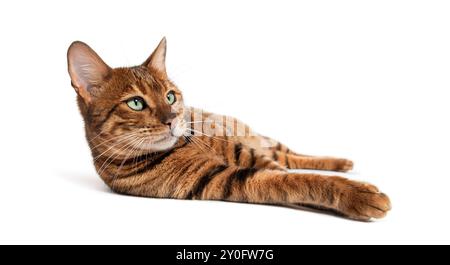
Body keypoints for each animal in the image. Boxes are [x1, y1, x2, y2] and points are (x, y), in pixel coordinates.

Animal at [66, 36, 390, 219]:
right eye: (135, 103)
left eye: (170, 96)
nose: (173, 119)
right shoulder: (221, 178)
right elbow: (293, 181)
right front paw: (356, 195)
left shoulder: (245, 153)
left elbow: (289, 172)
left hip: (259, 139)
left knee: (290, 154)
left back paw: (342, 162)